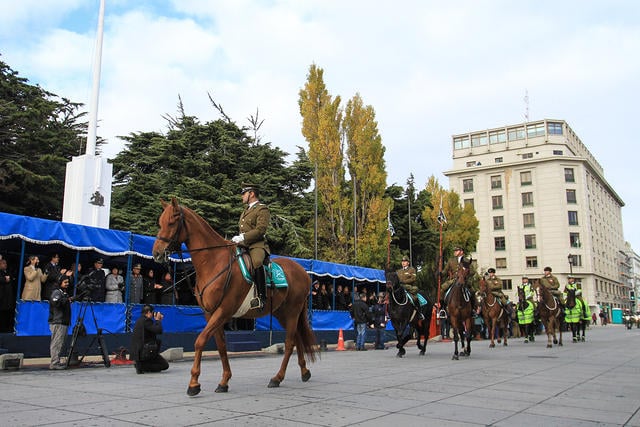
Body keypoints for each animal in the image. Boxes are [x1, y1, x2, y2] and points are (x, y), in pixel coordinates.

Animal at [152, 199, 318, 396]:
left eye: (172, 222)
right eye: (160, 222)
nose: (156, 253)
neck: (214, 261)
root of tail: (303, 272)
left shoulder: (224, 311)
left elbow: (200, 341)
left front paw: (193, 384)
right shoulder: (211, 313)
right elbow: (221, 345)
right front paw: (224, 381)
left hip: (292, 311)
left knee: (289, 342)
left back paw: (277, 378)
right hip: (281, 313)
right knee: (297, 338)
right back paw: (305, 371)